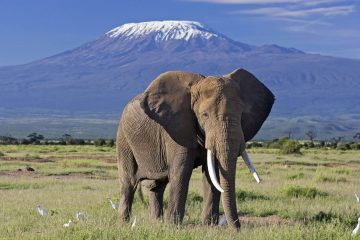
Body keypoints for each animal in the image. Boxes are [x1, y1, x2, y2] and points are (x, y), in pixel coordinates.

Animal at [116, 68, 274, 230]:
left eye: (241, 114)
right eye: (205, 115)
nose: (237, 230)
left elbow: (213, 174)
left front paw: (209, 227)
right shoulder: (176, 129)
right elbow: (182, 172)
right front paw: (173, 227)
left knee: (157, 186)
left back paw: (156, 224)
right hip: (124, 138)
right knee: (129, 182)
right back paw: (124, 224)